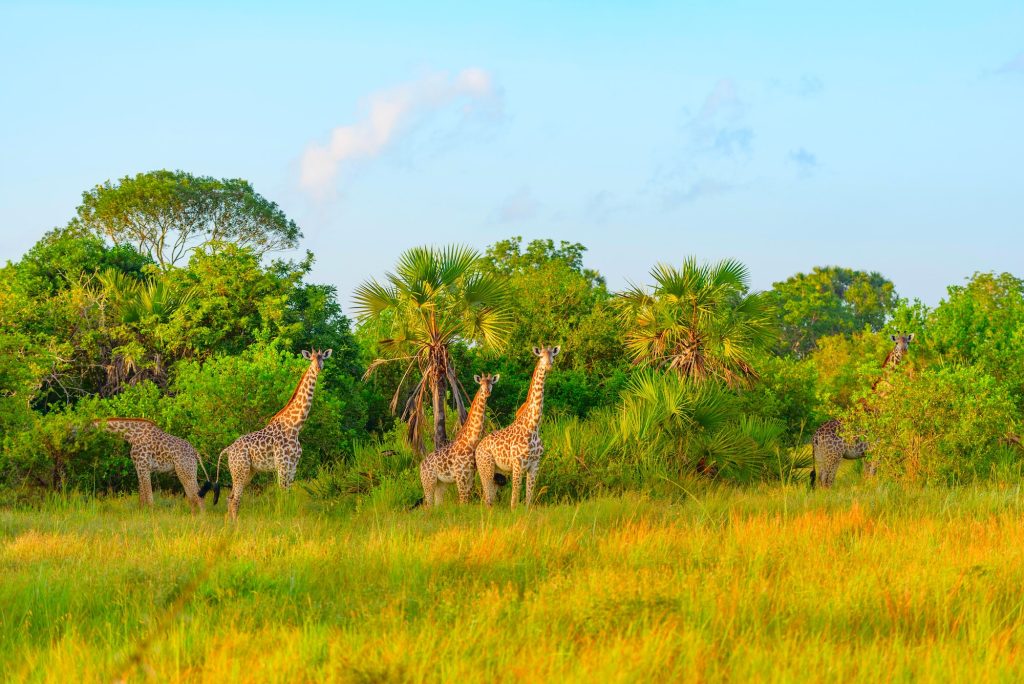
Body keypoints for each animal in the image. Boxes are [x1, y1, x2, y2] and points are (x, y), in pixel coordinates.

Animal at [216, 350, 331, 520]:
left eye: (323, 358)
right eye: (311, 359)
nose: (318, 368)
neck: (295, 426)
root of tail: (228, 450)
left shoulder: (293, 465)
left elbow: (288, 495)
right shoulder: (282, 464)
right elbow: (282, 494)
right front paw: (282, 518)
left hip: (247, 471)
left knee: (230, 497)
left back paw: (230, 523)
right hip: (240, 470)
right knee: (235, 498)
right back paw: (235, 523)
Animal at [417, 370, 501, 505]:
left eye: (491, 383)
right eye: (481, 384)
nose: (487, 392)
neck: (470, 442)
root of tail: (421, 465)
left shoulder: (470, 475)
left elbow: (466, 500)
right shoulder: (460, 476)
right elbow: (462, 501)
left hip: (440, 483)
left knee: (437, 504)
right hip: (428, 481)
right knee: (428, 505)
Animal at [473, 348, 561, 507]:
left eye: (553, 355)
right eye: (541, 356)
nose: (549, 366)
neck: (533, 427)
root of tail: (478, 447)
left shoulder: (534, 464)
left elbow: (529, 497)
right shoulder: (518, 464)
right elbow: (514, 497)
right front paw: (514, 510)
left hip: (496, 471)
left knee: (488, 497)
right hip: (485, 468)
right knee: (487, 497)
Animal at [811, 333, 917, 489]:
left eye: (908, 342)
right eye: (896, 342)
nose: (904, 352)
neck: (881, 399)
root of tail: (815, 438)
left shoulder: (867, 452)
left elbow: (867, 476)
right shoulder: (876, 447)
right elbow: (872, 475)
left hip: (820, 457)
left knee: (820, 481)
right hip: (834, 456)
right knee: (827, 481)